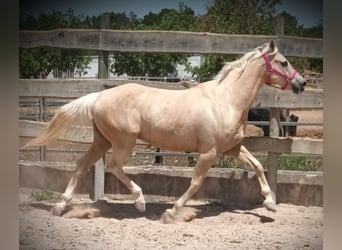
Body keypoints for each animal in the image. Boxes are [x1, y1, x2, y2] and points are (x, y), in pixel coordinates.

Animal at [25, 40, 306, 221]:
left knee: (82, 165)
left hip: (102, 140)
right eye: (284, 62)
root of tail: (98, 96)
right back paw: (140, 202)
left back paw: (61, 206)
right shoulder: (209, 152)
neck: (226, 100)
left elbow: (257, 166)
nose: (302, 83)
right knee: (114, 166)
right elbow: (196, 182)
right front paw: (171, 212)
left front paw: (270, 204)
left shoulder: (233, 148)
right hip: (123, 141)